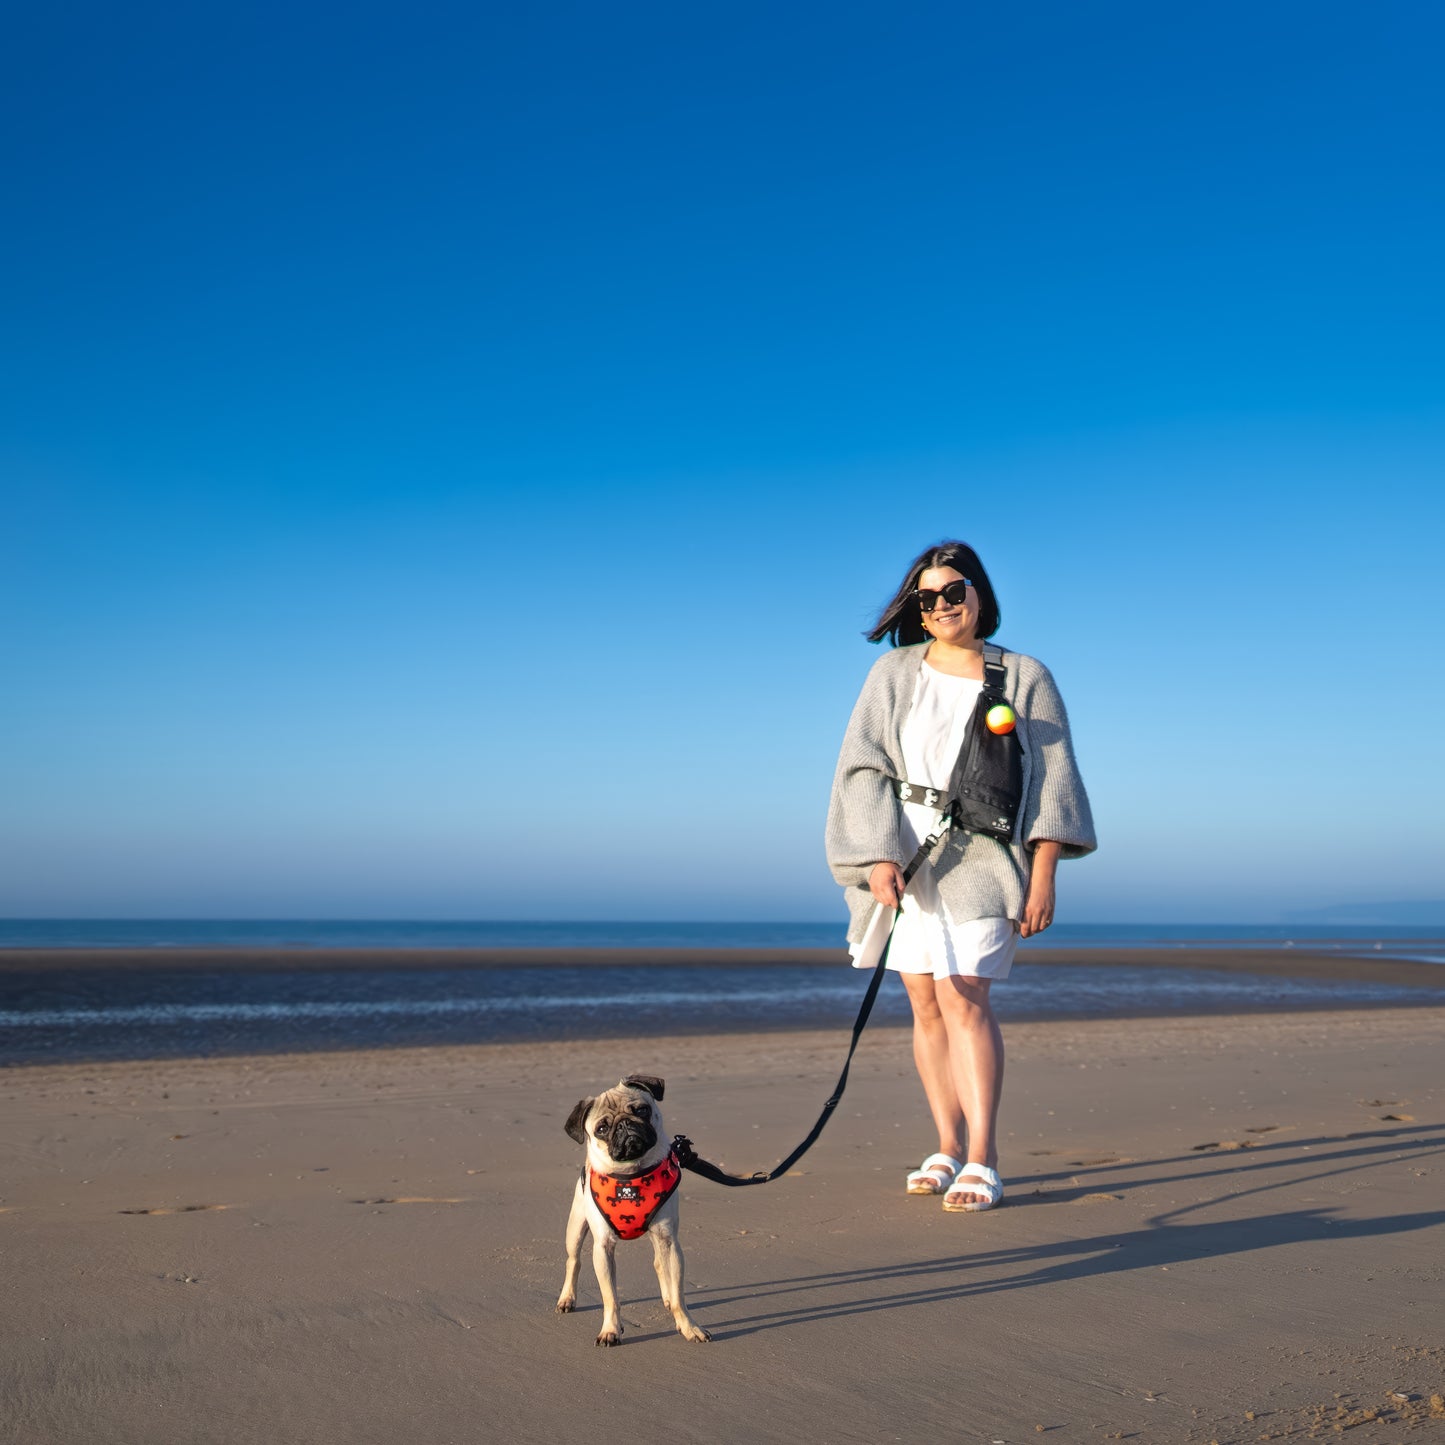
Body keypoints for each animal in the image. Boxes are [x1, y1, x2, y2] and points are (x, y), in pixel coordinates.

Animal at [551, 1075, 710, 1340]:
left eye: (642, 1110)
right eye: (602, 1129)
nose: (625, 1124)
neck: (631, 1174)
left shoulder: (669, 1240)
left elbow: (679, 1294)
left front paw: (689, 1326)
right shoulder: (603, 1248)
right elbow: (610, 1297)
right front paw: (610, 1330)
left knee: (660, 1264)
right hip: (575, 1229)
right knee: (573, 1261)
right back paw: (567, 1299)